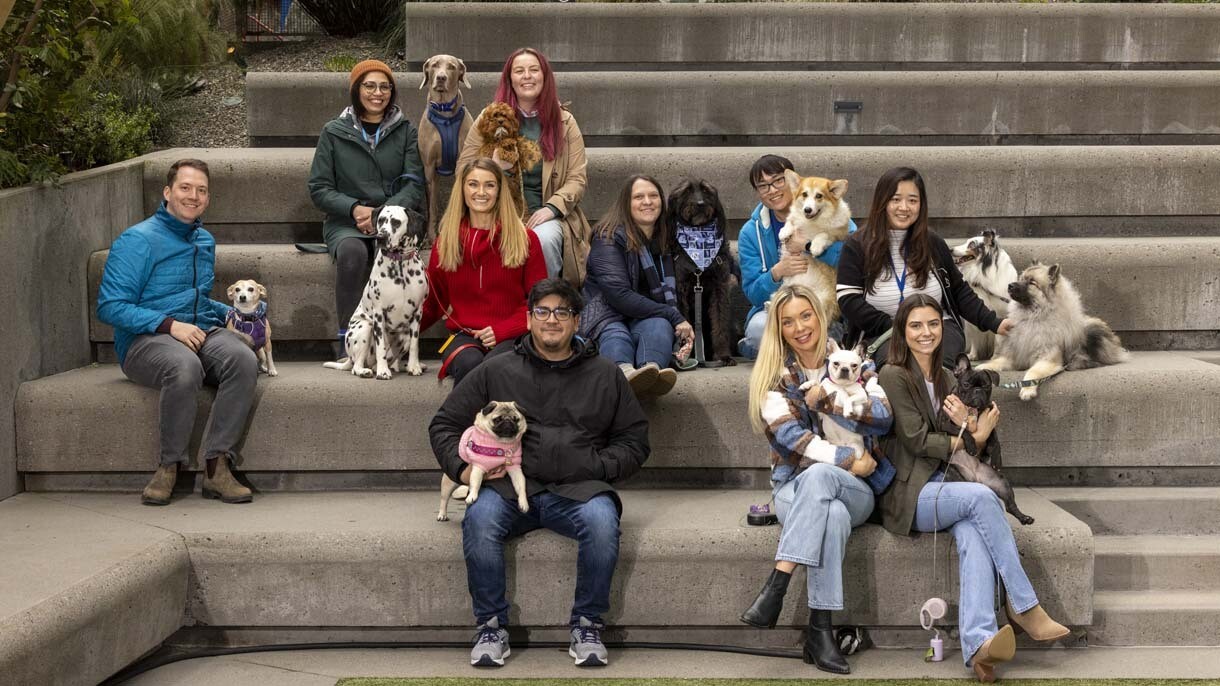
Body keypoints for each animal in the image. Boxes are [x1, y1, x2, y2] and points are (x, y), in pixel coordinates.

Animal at [324, 207, 429, 378]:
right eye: (381, 220)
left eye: (396, 222)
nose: (380, 237)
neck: (399, 265)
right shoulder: (379, 313)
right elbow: (381, 348)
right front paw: (383, 371)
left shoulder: (417, 313)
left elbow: (415, 345)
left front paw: (414, 366)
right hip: (365, 327)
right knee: (357, 365)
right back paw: (367, 370)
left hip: (403, 335)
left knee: (392, 359)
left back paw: (399, 366)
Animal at [668, 179, 732, 366]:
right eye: (687, 191)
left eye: (706, 191)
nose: (700, 204)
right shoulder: (680, 288)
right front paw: (683, 355)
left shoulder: (719, 288)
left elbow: (720, 320)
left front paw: (723, 355)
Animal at [775, 170, 854, 319]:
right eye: (804, 194)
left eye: (819, 196)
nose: (807, 209)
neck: (813, 222)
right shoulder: (795, 220)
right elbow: (790, 222)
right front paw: (784, 232)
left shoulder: (836, 235)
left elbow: (823, 234)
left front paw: (815, 247)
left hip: (822, 299)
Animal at [936, 351, 1034, 522]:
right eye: (966, 384)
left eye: (987, 386)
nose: (977, 390)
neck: (972, 410)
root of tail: (977, 480)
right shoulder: (945, 424)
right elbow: (964, 431)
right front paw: (972, 446)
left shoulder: (990, 423)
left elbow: (995, 440)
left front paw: (996, 458)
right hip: (955, 475)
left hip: (1001, 483)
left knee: (1010, 506)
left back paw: (1024, 517)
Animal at [976, 261, 1127, 400]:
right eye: (1021, 278)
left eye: (1032, 282)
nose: (1010, 285)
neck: (1032, 318)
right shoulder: (1013, 357)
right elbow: (995, 363)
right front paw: (980, 367)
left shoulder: (1047, 360)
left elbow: (1032, 373)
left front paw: (1027, 390)